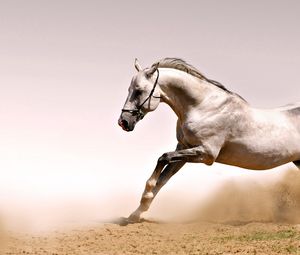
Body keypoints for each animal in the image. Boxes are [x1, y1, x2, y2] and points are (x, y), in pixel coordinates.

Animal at [118, 57, 300, 223]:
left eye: (139, 91)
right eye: (128, 89)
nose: (123, 122)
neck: (203, 107)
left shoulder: (207, 154)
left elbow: (163, 158)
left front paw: (145, 197)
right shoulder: (183, 148)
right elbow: (163, 179)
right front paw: (135, 214)